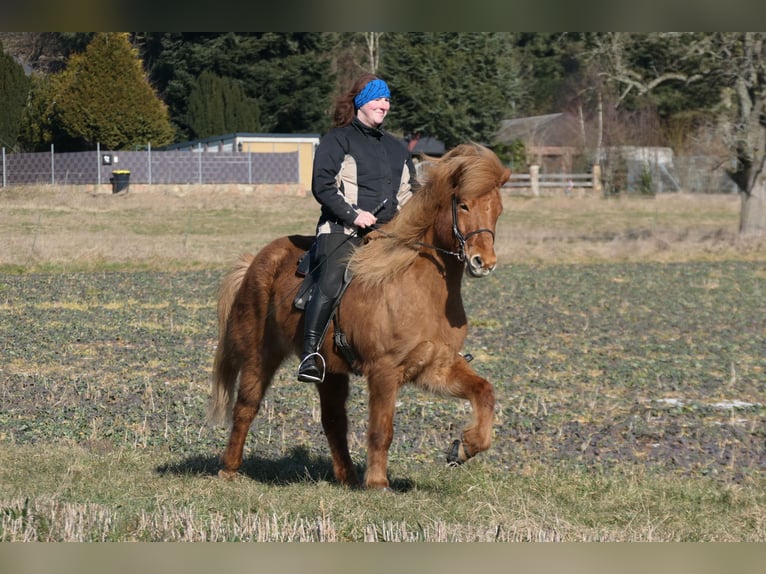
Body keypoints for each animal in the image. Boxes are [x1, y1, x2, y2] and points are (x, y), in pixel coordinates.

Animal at [207, 143, 512, 490]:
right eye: (463, 205)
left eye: (498, 209)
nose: (483, 262)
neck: (419, 288)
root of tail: (255, 261)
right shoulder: (384, 371)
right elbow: (381, 431)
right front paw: (378, 483)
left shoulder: (436, 368)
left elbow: (484, 392)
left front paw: (464, 447)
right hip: (260, 355)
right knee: (246, 406)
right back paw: (229, 468)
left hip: (330, 371)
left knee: (333, 421)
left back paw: (347, 478)